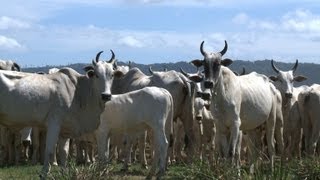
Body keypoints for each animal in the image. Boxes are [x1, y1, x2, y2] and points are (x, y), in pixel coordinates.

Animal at [0, 50, 116, 178]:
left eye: (112, 75)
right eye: (96, 74)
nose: (106, 96)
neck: (78, 90)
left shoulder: (65, 130)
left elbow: (64, 152)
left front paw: (64, 172)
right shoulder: (54, 123)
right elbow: (49, 150)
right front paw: (44, 173)